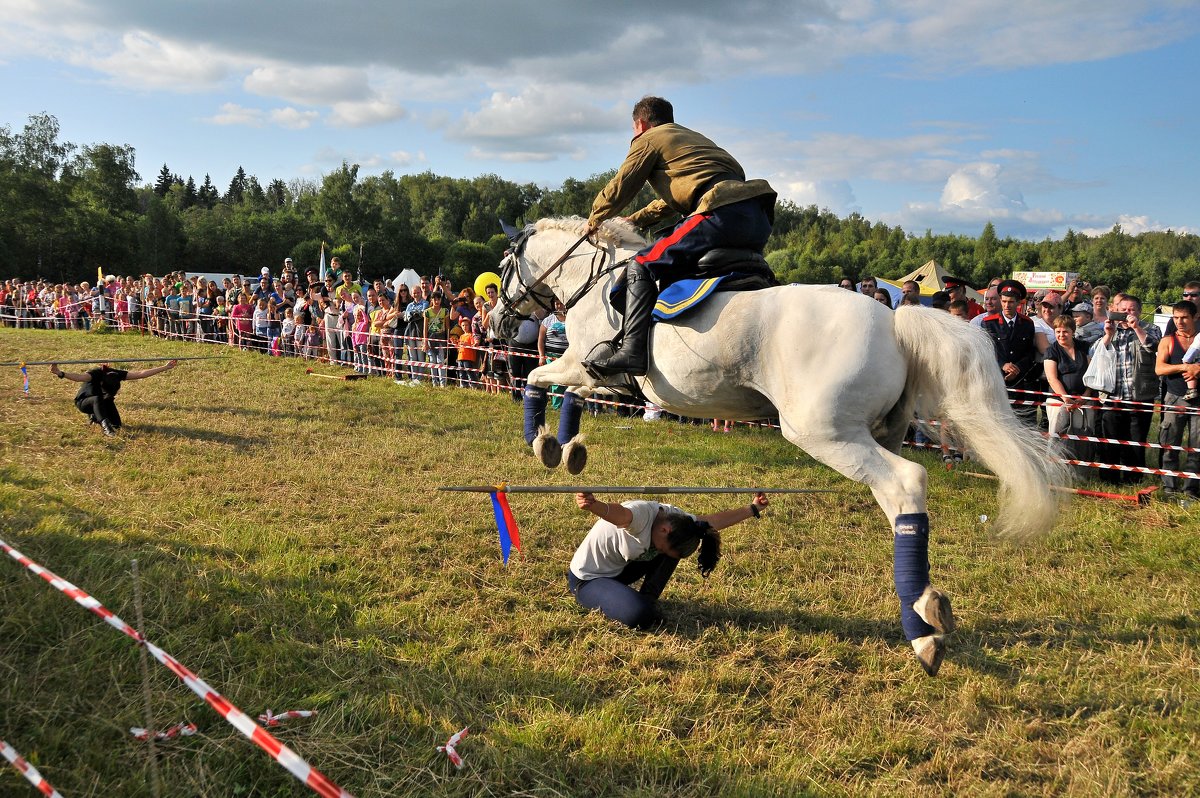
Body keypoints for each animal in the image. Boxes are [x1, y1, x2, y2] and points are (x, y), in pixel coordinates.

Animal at [489, 216, 1070, 672]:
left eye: (504, 266)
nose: (498, 322)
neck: (595, 280)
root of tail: (893, 318)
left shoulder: (581, 361)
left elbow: (537, 378)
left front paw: (542, 442)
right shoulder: (602, 379)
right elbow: (568, 393)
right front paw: (569, 448)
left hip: (823, 432)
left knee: (905, 485)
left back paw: (922, 628)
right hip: (879, 430)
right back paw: (925, 615)